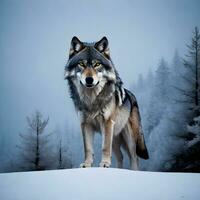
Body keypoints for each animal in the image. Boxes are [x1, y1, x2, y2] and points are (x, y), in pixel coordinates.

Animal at [64, 36, 148, 170]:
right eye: (81, 64)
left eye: (97, 64)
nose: (89, 79)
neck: (91, 99)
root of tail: (132, 96)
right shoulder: (85, 124)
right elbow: (88, 148)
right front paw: (87, 164)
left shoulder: (107, 123)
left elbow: (104, 147)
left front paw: (104, 163)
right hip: (115, 139)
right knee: (120, 156)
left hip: (128, 137)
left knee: (134, 157)